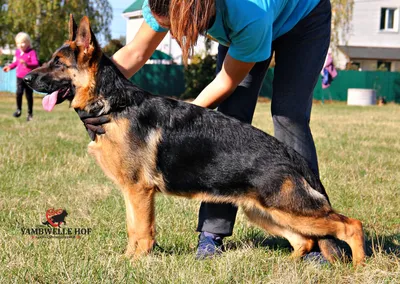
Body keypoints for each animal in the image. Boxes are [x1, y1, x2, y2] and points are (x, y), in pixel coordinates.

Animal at [22, 15, 366, 264]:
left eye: (57, 63)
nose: (24, 78)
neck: (113, 103)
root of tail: (293, 156)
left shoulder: (139, 192)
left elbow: (141, 230)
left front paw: (134, 262)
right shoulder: (132, 193)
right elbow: (133, 229)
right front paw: (128, 259)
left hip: (291, 211)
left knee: (351, 225)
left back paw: (359, 266)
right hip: (265, 212)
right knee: (304, 240)